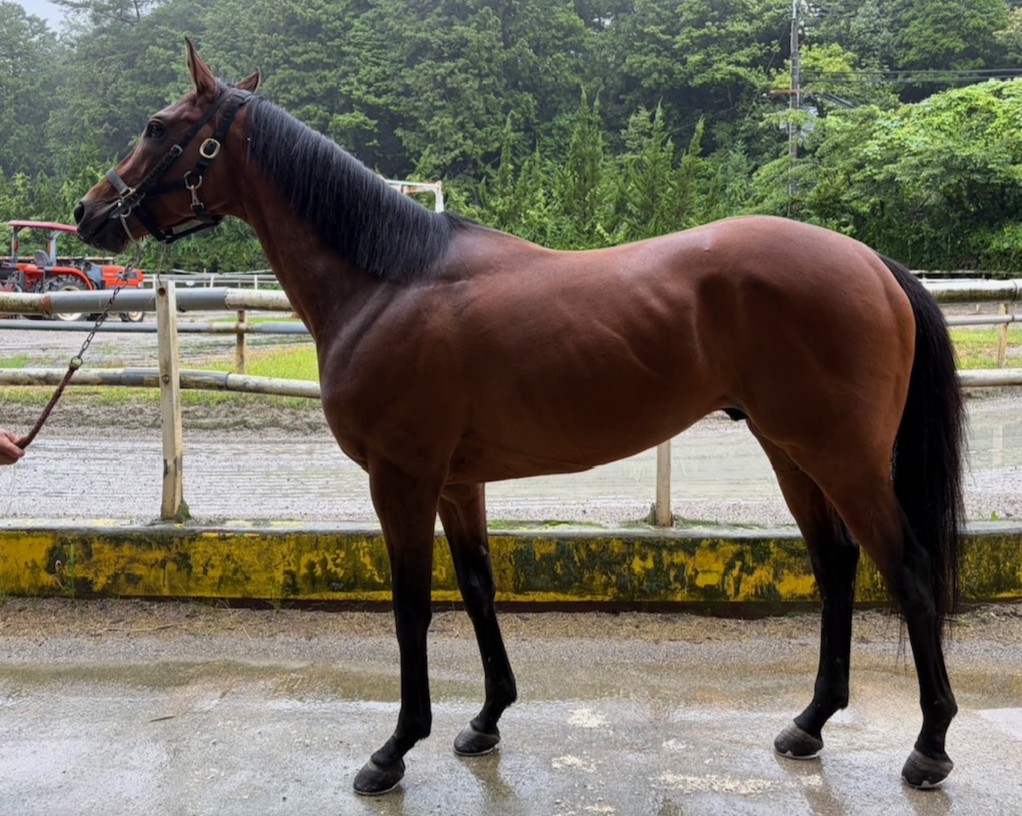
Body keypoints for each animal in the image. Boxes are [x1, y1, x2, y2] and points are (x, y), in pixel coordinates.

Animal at [75, 41, 965, 796]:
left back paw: (929, 748)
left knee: (910, 570)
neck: (392, 280)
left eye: (158, 127)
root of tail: (871, 262)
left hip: (843, 457)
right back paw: (809, 725)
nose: (89, 213)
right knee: (836, 566)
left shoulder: (400, 480)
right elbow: (477, 588)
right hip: (792, 451)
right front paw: (485, 720)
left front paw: (393, 752)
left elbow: (410, 607)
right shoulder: (455, 482)